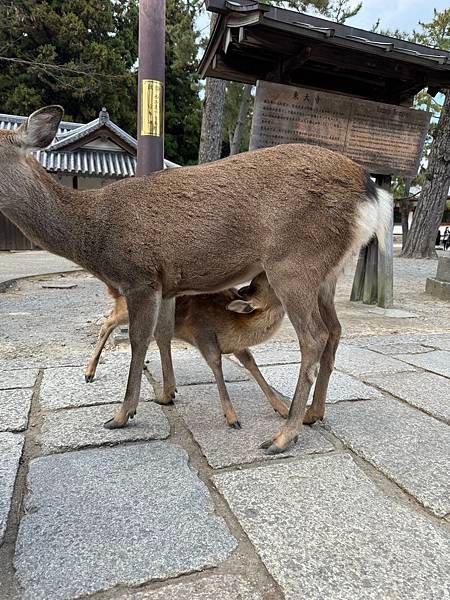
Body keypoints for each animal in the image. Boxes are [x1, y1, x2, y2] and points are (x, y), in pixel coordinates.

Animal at [0, 108, 390, 452]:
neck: (92, 236)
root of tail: (374, 195)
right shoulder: (168, 282)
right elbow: (162, 333)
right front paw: (166, 394)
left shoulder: (139, 276)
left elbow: (139, 340)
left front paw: (122, 414)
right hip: (328, 272)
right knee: (335, 330)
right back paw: (313, 414)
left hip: (294, 263)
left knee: (314, 336)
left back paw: (283, 436)